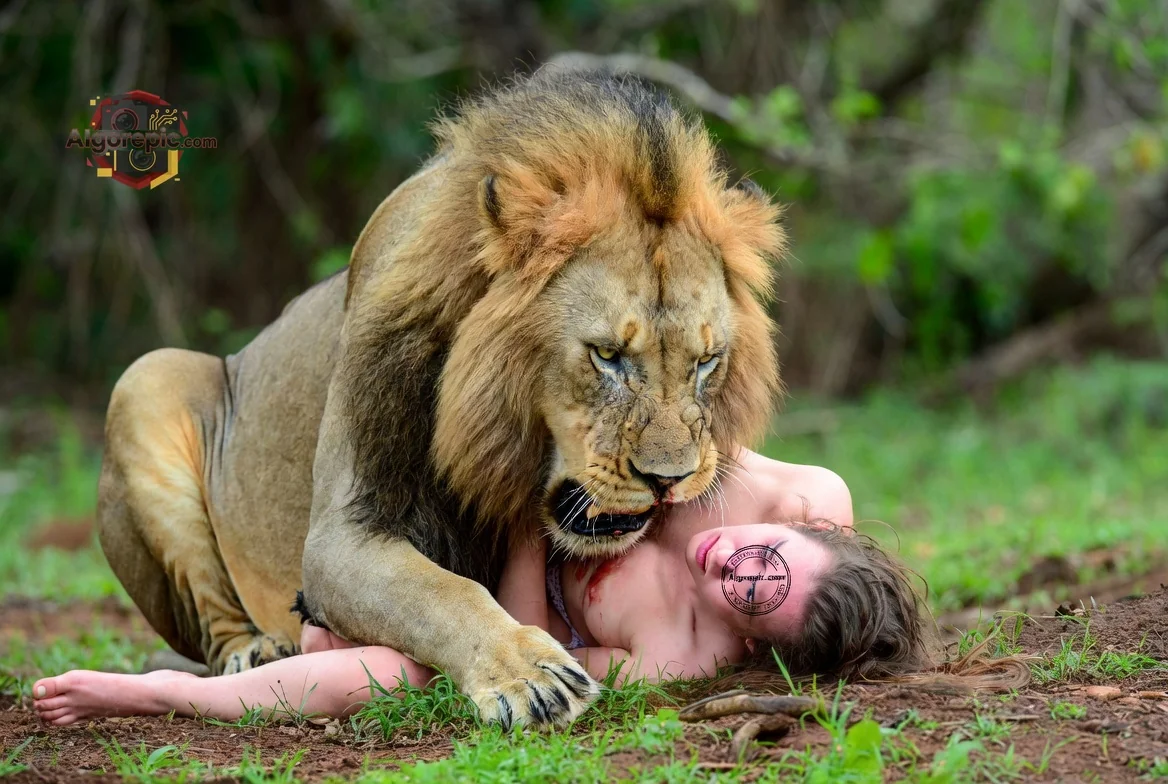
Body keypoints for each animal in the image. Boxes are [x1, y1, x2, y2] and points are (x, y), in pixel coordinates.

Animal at [96, 67, 785, 728]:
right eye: (607, 355)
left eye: (707, 362)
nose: (668, 481)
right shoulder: (338, 539)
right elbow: (442, 593)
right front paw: (530, 676)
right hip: (145, 378)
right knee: (215, 625)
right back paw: (257, 650)